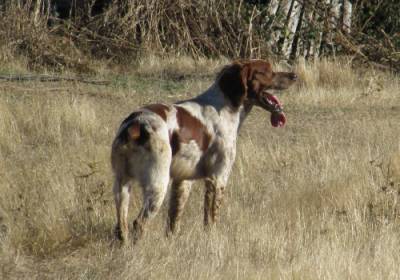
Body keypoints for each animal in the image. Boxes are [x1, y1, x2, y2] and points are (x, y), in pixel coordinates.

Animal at [111, 59, 296, 243]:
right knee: (139, 223)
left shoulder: (183, 180)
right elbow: (211, 219)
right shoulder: (218, 178)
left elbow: (174, 221)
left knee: (122, 226)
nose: (294, 75)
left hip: (122, 184)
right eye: (267, 71)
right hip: (157, 183)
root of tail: (136, 124)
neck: (227, 105)